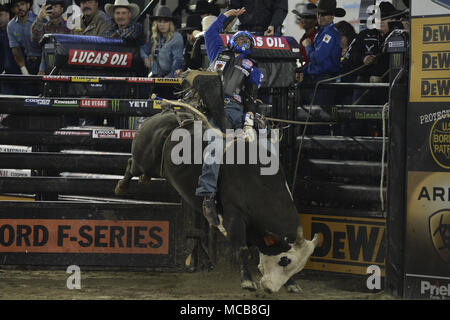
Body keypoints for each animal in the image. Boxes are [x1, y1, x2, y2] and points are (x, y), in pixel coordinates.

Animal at [115, 109, 320, 292]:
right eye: (283, 260)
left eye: (296, 266)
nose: (270, 289)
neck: (258, 183)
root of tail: (169, 115)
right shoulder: (234, 218)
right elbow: (242, 249)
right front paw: (247, 281)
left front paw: (292, 283)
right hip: (144, 159)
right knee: (131, 165)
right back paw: (122, 187)